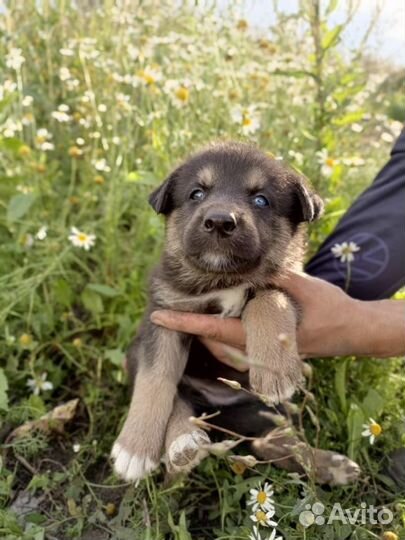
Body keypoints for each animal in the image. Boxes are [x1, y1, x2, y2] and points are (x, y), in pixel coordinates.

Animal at [111, 143, 360, 486]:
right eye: (197, 194)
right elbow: (156, 379)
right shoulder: (163, 315)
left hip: (268, 409)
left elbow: (266, 300)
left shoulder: (292, 287)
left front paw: (273, 368)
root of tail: (219, 404)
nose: (219, 221)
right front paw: (134, 449)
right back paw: (183, 442)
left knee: (269, 443)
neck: (223, 278)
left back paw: (330, 465)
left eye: (261, 200)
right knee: (180, 397)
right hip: (137, 356)